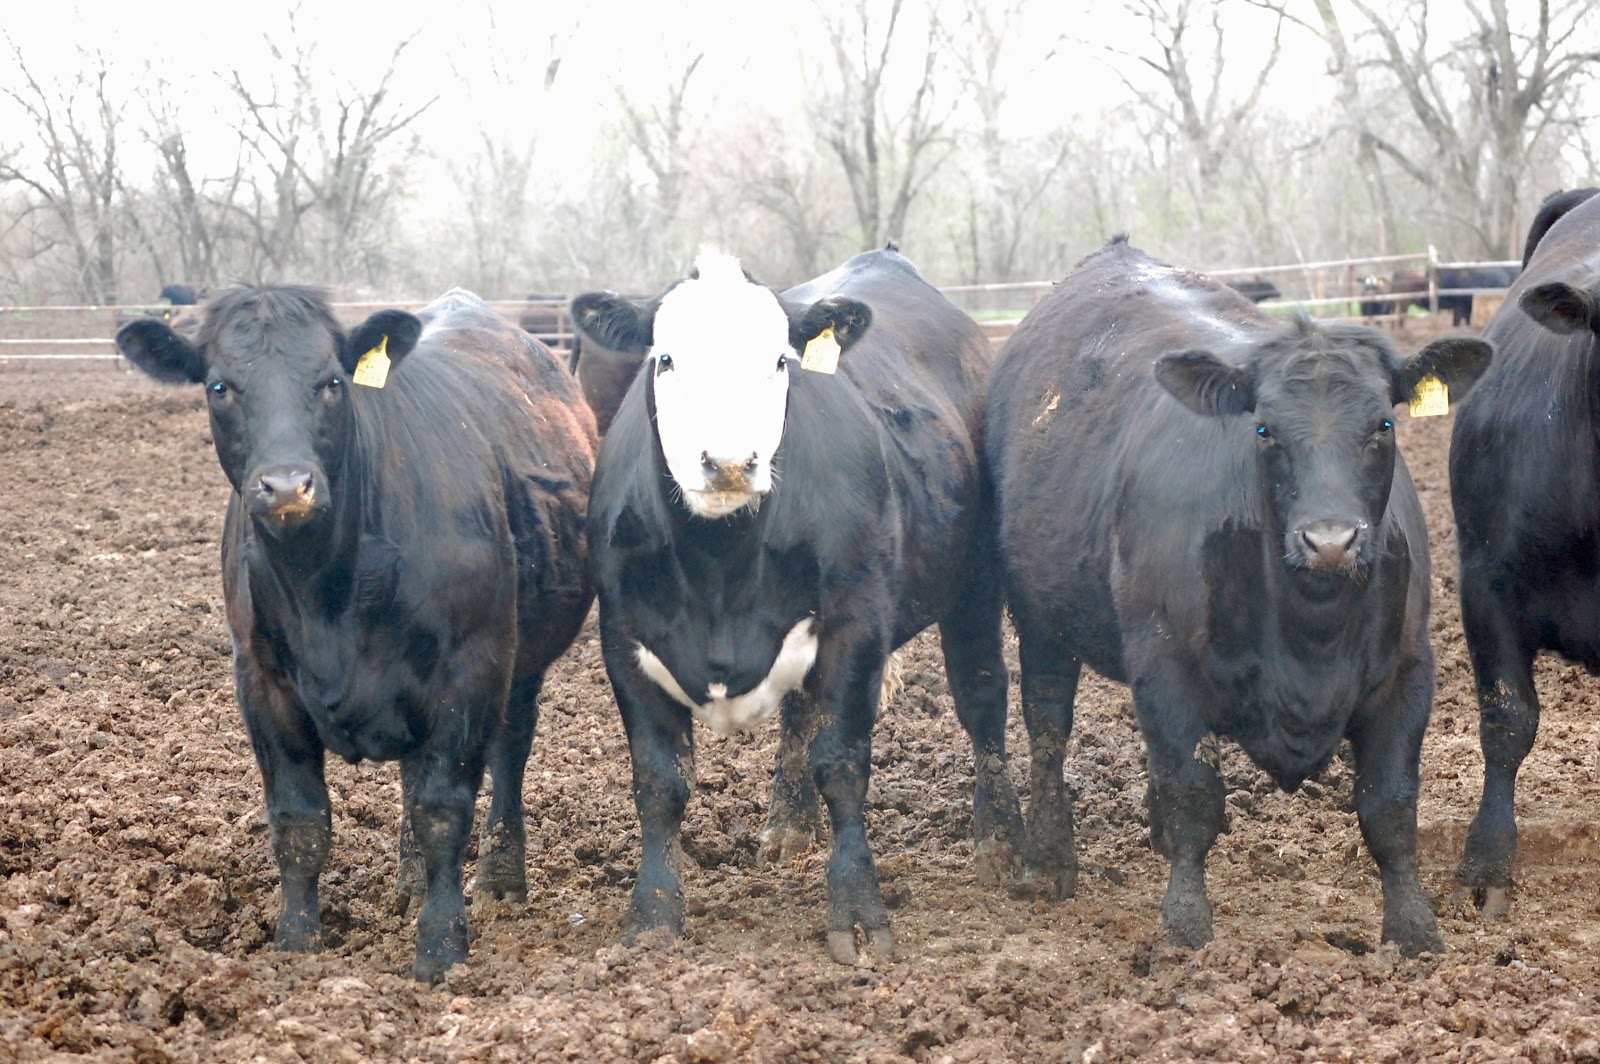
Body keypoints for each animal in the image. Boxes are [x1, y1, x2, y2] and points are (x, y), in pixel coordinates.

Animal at [114, 286, 597, 982]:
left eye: (332, 381)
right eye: (219, 385)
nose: (286, 485)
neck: (329, 588)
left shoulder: (471, 670)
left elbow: (443, 811)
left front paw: (441, 950)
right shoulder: (261, 679)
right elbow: (299, 821)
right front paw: (295, 945)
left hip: (522, 657)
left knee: (509, 751)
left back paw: (500, 880)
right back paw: (409, 885)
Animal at [575, 246, 1025, 964]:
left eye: (782, 361)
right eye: (665, 358)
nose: (731, 461)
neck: (720, 566)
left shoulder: (855, 626)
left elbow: (840, 763)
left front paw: (858, 911)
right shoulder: (623, 640)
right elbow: (660, 780)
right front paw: (651, 917)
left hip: (975, 585)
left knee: (982, 699)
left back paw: (1002, 842)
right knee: (798, 713)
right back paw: (788, 822)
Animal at [987, 236, 1493, 955]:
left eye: (1384, 424)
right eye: (1264, 429)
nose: (1331, 541)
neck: (1310, 631)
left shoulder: (1408, 669)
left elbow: (1390, 805)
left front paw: (1415, 931)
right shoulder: (1164, 666)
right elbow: (1192, 791)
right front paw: (1185, 924)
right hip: (1039, 612)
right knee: (1048, 725)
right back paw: (1047, 858)